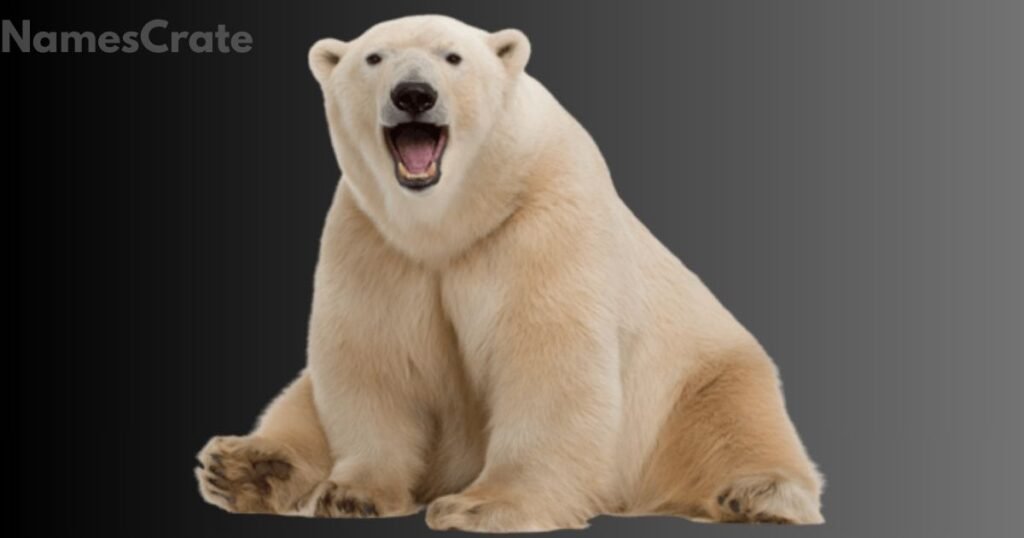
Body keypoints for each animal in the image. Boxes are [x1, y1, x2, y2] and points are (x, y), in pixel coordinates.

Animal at [195, 15, 824, 532]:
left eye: (453, 57)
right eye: (374, 58)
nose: (413, 94)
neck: (451, 220)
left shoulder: (540, 219)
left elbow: (543, 358)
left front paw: (481, 507)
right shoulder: (374, 241)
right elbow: (374, 359)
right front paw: (350, 493)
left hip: (702, 373)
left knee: (736, 419)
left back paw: (759, 494)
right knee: (301, 396)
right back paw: (245, 465)